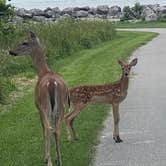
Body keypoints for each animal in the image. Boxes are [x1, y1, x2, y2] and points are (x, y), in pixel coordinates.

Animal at [9, 31, 69, 165]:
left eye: (24, 42)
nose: (11, 51)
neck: (42, 72)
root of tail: (51, 83)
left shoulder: (38, 107)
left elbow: (43, 129)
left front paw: (46, 157)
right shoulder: (53, 112)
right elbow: (54, 129)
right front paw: (55, 156)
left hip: (44, 106)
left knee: (47, 129)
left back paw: (49, 161)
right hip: (61, 107)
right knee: (56, 130)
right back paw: (59, 160)